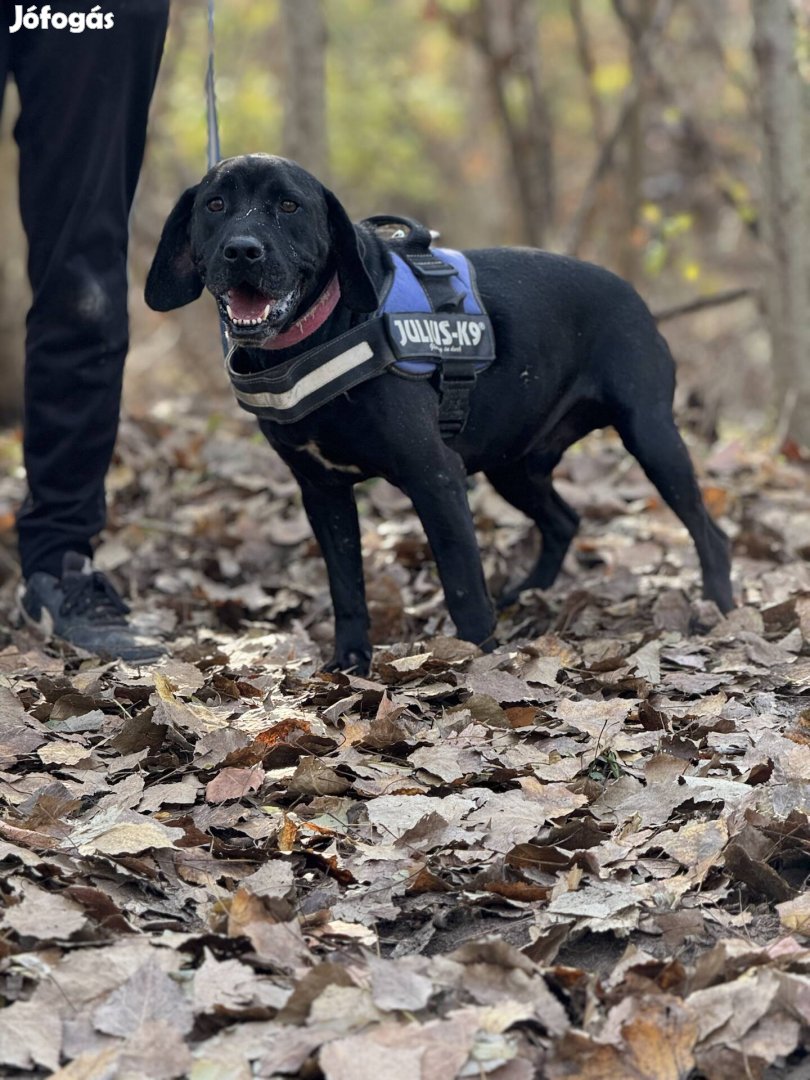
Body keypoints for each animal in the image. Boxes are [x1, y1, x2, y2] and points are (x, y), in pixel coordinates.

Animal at [147, 155, 734, 669]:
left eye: (289, 206)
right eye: (216, 204)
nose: (242, 251)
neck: (321, 330)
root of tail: (632, 293)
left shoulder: (436, 478)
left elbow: (462, 587)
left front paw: (476, 663)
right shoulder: (322, 491)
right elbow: (347, 589)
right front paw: (350, 663)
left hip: (651, 437)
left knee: (711, 533)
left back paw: (719, 612)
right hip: (513, 465)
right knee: (565, 520)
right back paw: (528, 594)